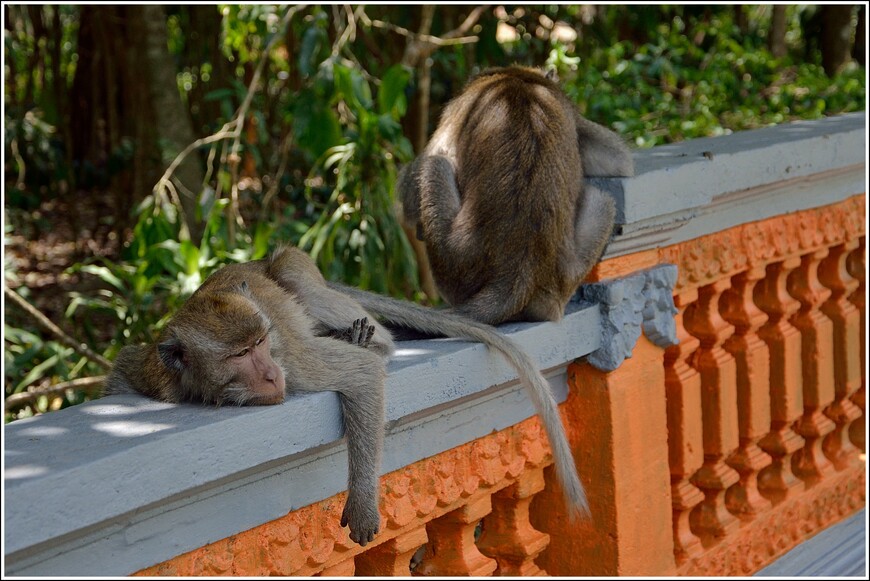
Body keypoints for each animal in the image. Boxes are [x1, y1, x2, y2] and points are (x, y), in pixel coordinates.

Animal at [104, 244, 592, 544]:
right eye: (241, 353)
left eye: (262, 342)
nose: (270, 376)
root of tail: (259, 262)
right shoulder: (153, 372)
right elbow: (121, 372)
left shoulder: (294, 362)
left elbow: (361, 374)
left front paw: (362, 502)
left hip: (299, 274)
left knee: (310, 290)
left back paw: (362, 337)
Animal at [398, 65, 636, 326]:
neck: (516, 76)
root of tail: (518, 277)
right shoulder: (569, 109)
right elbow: (620, 161)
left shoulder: (458, 108)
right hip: (566, 277)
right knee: (601, 199)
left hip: (454, 267)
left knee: (435, 163)